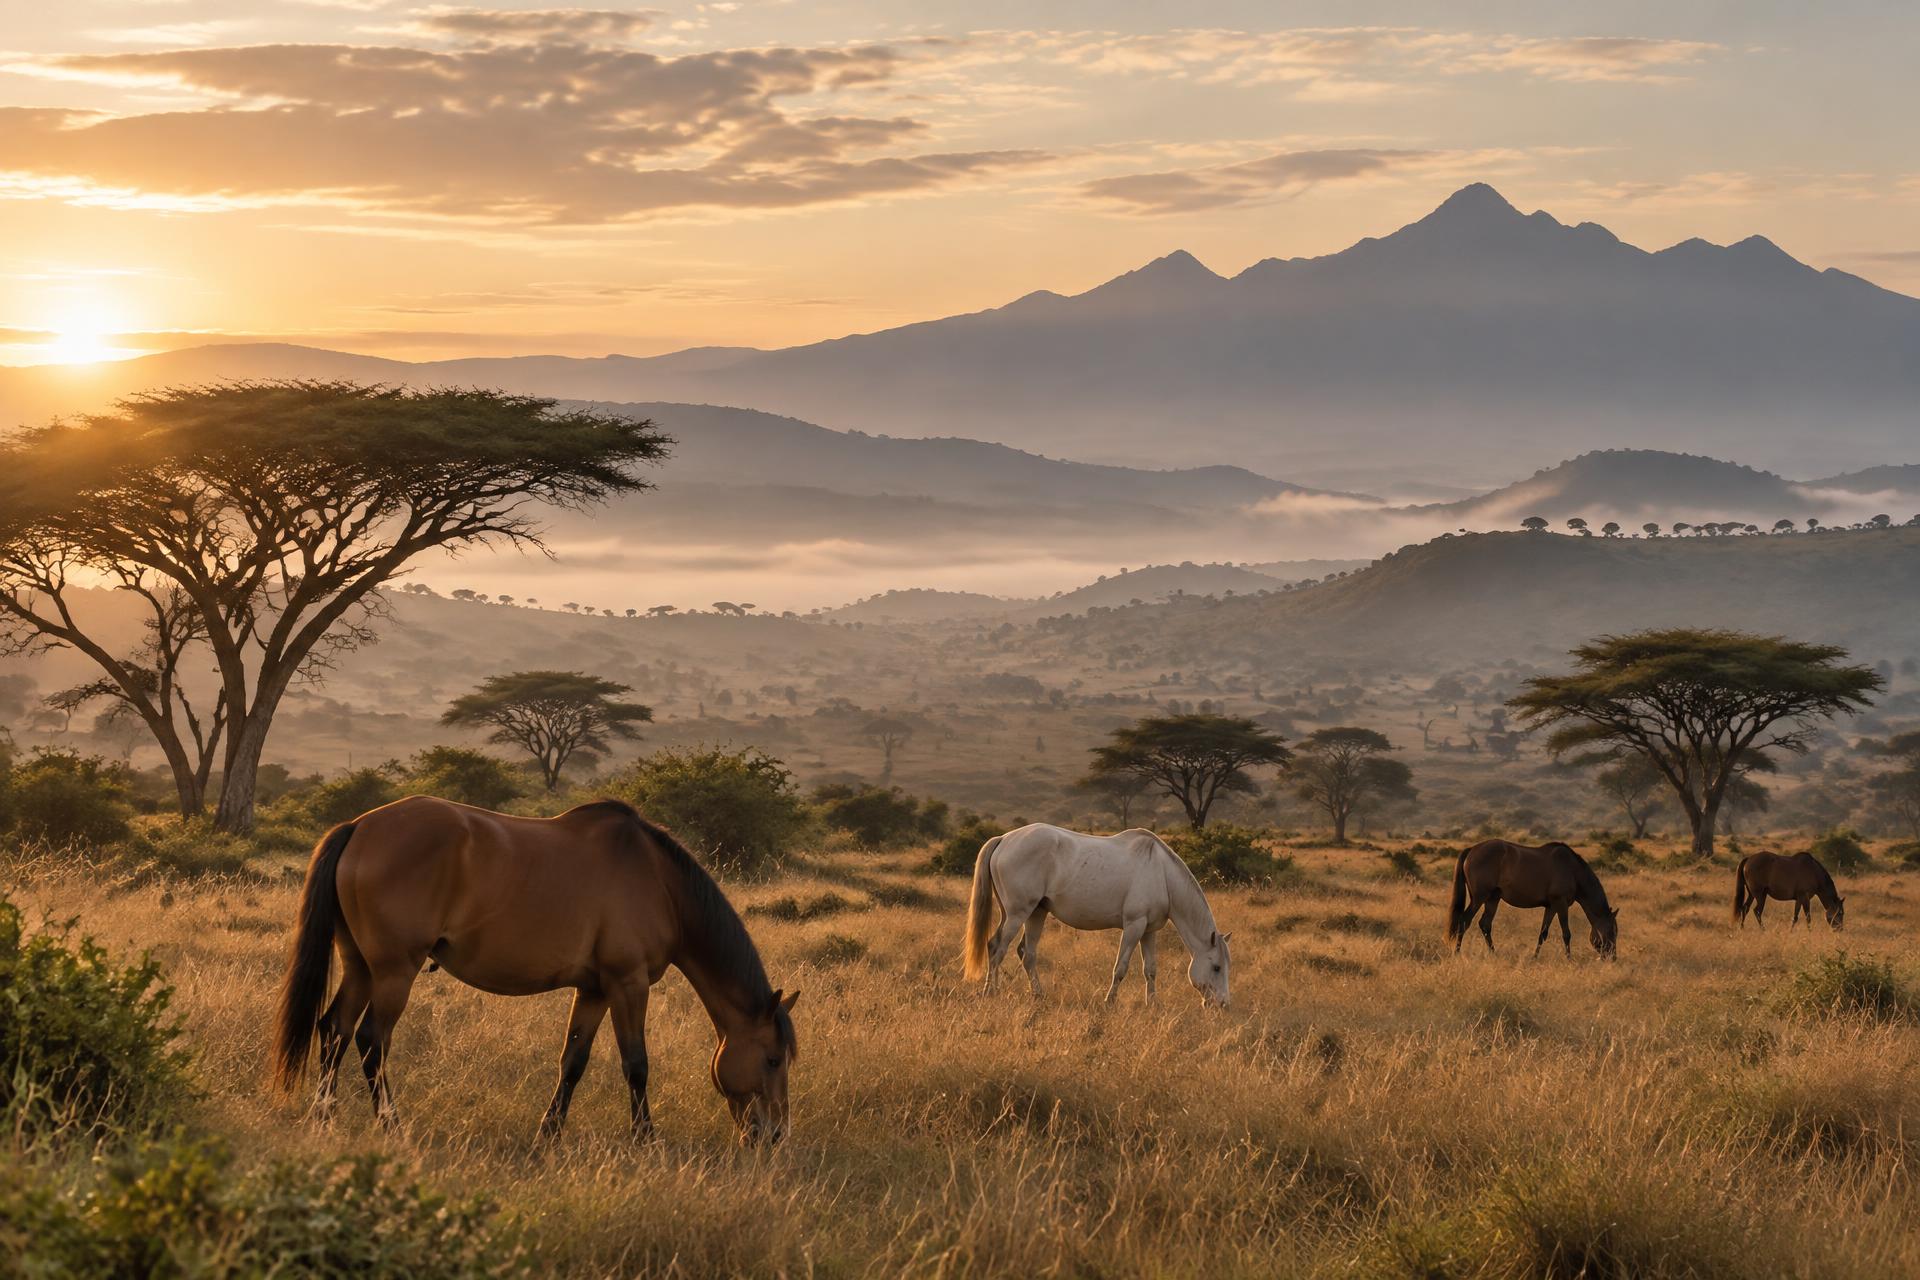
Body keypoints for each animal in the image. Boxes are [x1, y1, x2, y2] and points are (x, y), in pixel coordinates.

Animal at [273, 796, 799, 1145]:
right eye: (773, 1059)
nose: (773, 1135)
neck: (660, 883)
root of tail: (358, 826)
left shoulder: (594, 990)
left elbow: (573, 1062)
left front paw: (549, 1134)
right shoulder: (627, 985)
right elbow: (636, 1065)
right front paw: (645, 1139)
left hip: (361, 967)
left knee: (334, 1030)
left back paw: (324, 1119)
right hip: (393, 973)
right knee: (370, 1041)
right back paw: (391, 1126)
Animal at [961, 823, 1231, 1007]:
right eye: (1217, 967)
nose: (1222, 1005)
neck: (1162, 873)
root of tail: (1004, 839)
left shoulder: (1149, 930)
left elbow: (1150, 969)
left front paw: (1153, 1004)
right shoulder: (1133, 926)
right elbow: (1120, 968)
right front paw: (1109, 1001)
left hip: (1035, 912)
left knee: (1026, 954)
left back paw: (1038, 995)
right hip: (1018, 913)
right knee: (998, 949)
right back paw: (990, 992)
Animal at [1447, 839, 1618, 959]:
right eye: (1613, 931)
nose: (1612, 957)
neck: (1572, 870)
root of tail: (1472, 850)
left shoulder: (1551, 906)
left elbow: (1543, 933)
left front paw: (1534, 957)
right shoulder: (1561, 904)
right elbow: (1566, 933)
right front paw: (1569, 959)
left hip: (1492, 899)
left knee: (1485, 925)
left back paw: (1493, 954)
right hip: (1479, 898)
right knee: (1464, 921)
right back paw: (1457, 953)